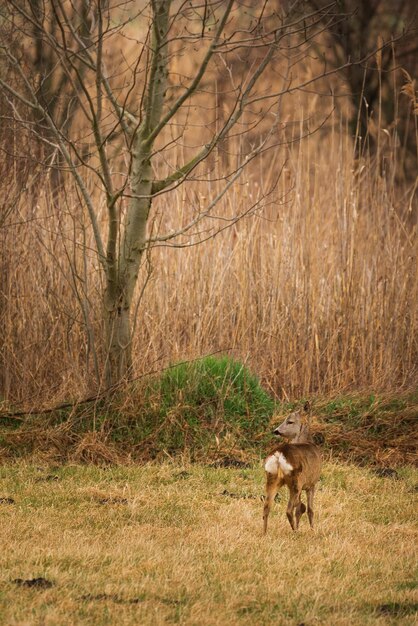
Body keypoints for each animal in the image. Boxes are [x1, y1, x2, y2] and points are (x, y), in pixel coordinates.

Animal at [262, 404, 322, 532]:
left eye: (289, 421)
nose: (276, 431)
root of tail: (279, 454)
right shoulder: (311, 483)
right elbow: (309, 509)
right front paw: (313, 530)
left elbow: (300, 508)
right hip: (295, 481)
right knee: (289, 510)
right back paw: (295, 531)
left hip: (272, 477)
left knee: (266, 507)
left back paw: (264, 532)